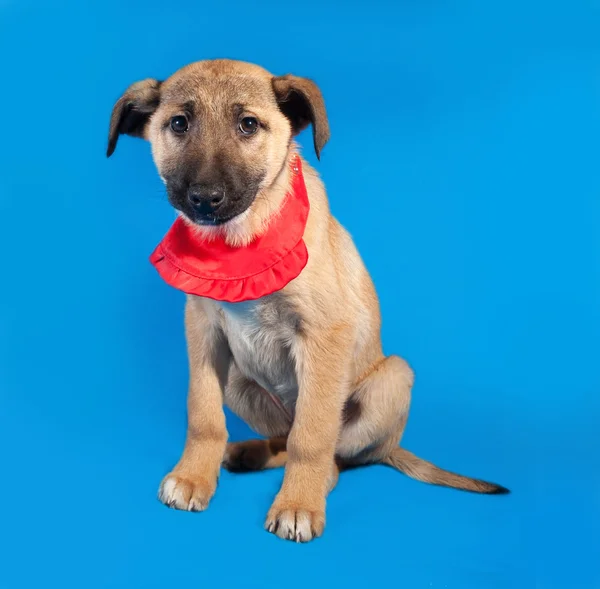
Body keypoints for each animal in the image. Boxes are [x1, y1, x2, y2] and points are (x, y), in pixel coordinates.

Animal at [106, 58, 506, 544]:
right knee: (284, 436)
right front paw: (194, 476)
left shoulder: (324, 334)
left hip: (393, 376)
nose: (204, 198)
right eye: (178, 123)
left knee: (335, 457)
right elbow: (203, 414)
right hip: (238, 380)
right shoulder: (203, 328)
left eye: (248, 124)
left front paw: (297, 504)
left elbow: (311, 436)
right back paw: (250, 453)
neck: (241, 244)